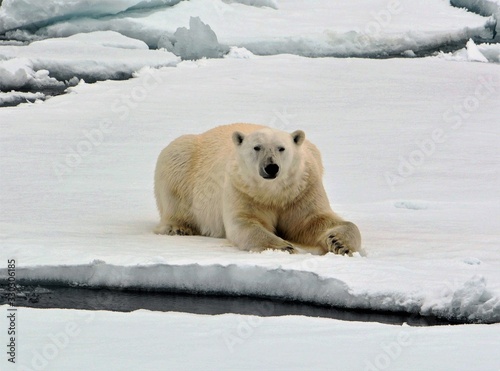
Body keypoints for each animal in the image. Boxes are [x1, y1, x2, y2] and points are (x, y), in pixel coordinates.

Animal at [154, 124, 362, 256]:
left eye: (281, 148)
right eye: (257, 147)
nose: (271, 167)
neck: (273, 193)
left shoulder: (302, 190)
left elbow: (312, 220)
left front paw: (339, 243)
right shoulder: (242, 189)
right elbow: (245, 223)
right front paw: (284, 247)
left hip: (314, 150)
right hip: (183, 162)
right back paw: (178, 228)